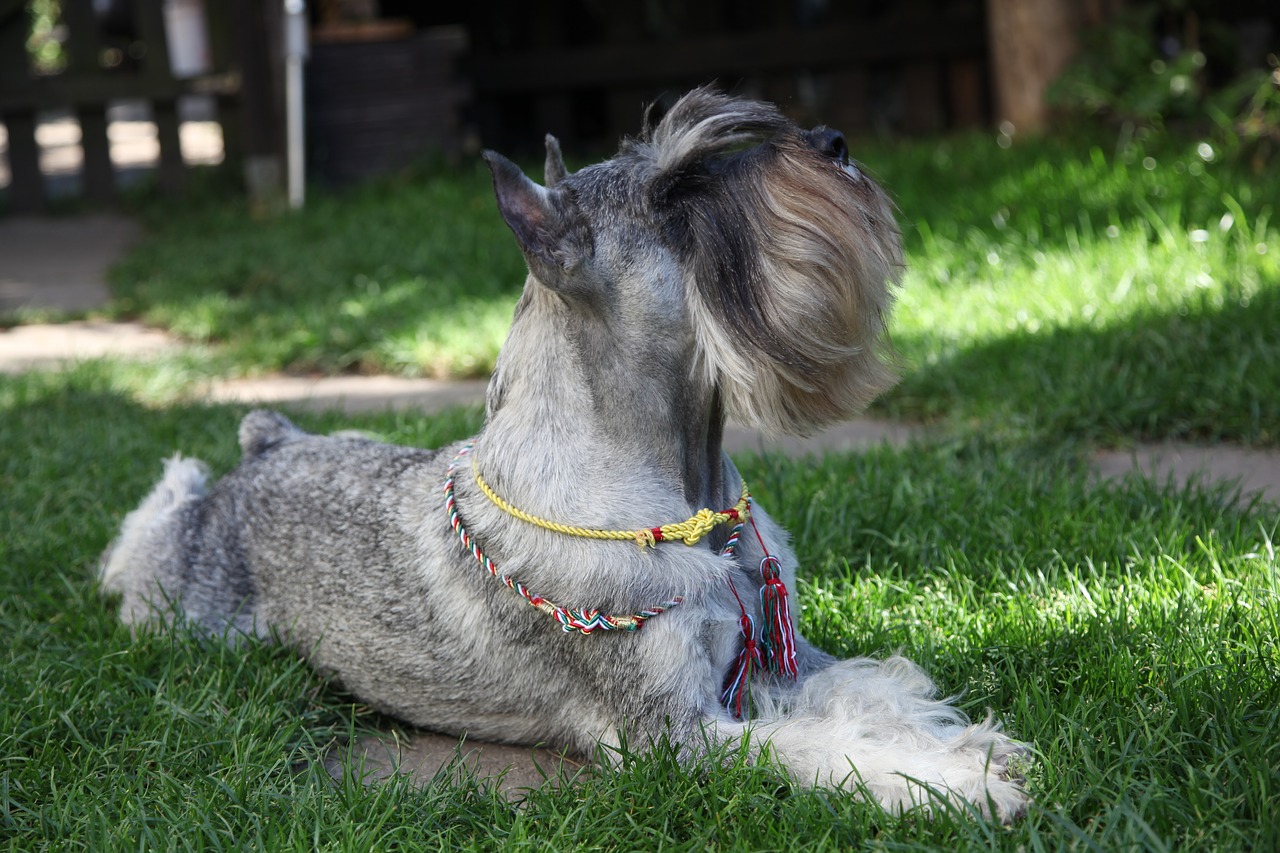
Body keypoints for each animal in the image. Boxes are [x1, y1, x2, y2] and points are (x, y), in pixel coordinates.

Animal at [104, 86, 1034, 819]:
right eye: (676, 191)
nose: (837, 143)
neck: (687, 493)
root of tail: (265, 447)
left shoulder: (780, 657)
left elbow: (864, 685)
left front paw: (966, 741)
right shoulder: (674, 735)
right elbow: (815, 745)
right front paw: (952, 783)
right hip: (177, 593)